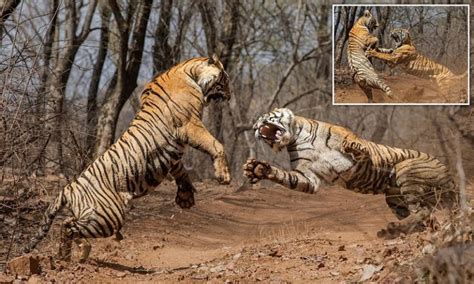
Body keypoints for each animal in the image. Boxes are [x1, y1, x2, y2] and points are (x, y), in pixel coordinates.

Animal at [23, 55, 234, 262]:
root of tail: (69, 187)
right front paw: (223, 176)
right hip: (108, 216)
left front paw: (186, 199)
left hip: (95, 215)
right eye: (225, 79)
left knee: (67, 223)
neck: (191, 72)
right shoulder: (190, 124)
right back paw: (75, 254)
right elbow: (216, 145)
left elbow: (180, 170)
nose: (230, 95)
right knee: (67, 227)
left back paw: (69, 256)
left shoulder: (175, 151)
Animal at [243, 108, 458, 237]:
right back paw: (395, 230)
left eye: (263, 118)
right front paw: (257, 169)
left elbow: (358, 145)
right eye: (256, 124)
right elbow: (289, 177)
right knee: (425, 215)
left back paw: (393, 229)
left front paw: (353, 147)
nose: (254, 128)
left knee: (423, 211)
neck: (297, 135)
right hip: (394, 197)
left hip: (406, 169)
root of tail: (451, 176)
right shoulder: (308, 176)